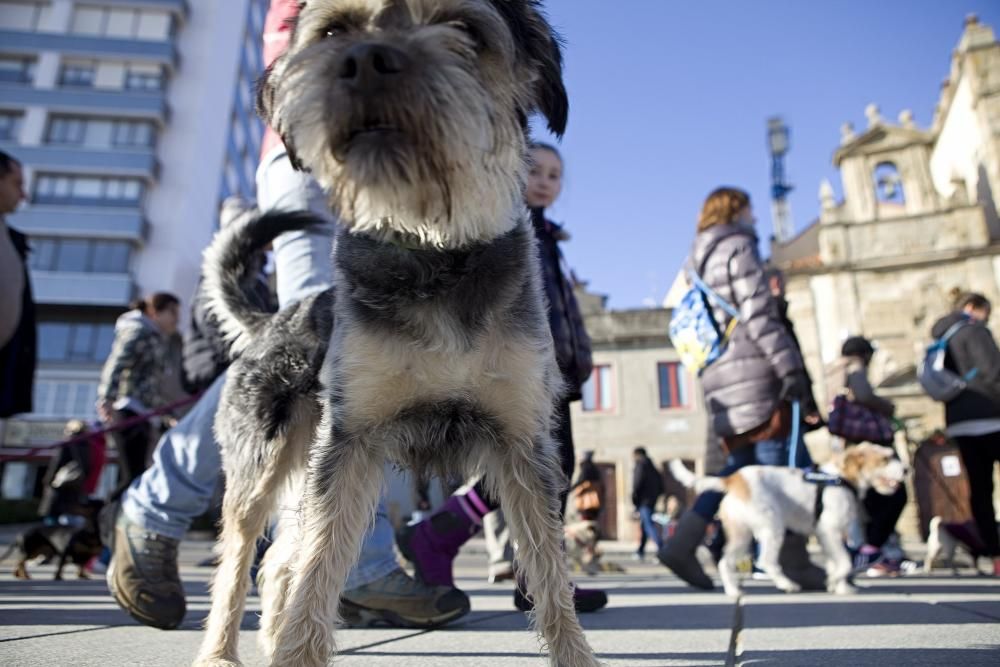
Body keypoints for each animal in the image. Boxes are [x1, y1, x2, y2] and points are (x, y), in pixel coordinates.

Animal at [196, 1, 600, 667]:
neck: (436, 251)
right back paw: (219, 652)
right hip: (263, 463)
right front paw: (298, 650)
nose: (364, 60)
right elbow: (319, 569)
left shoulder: (523, 446)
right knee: (243, 559)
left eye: (463, 28)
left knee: (279, 560)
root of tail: (270, 321)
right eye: (334, 31)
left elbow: (548, 573)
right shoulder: (351, 443)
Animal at [672, 446, 908, 596]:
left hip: (741, 533)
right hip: (772, 527)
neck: (843, 478)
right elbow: (844, 562)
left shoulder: (829, 536)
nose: (906, 469)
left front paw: (840, 587)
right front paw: (833, 582)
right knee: (767, 561)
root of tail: (734, 479)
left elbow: (836, 562)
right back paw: (787, 584)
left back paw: (733, 591)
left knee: (725, 561)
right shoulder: (829, 530)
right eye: (886, 459)